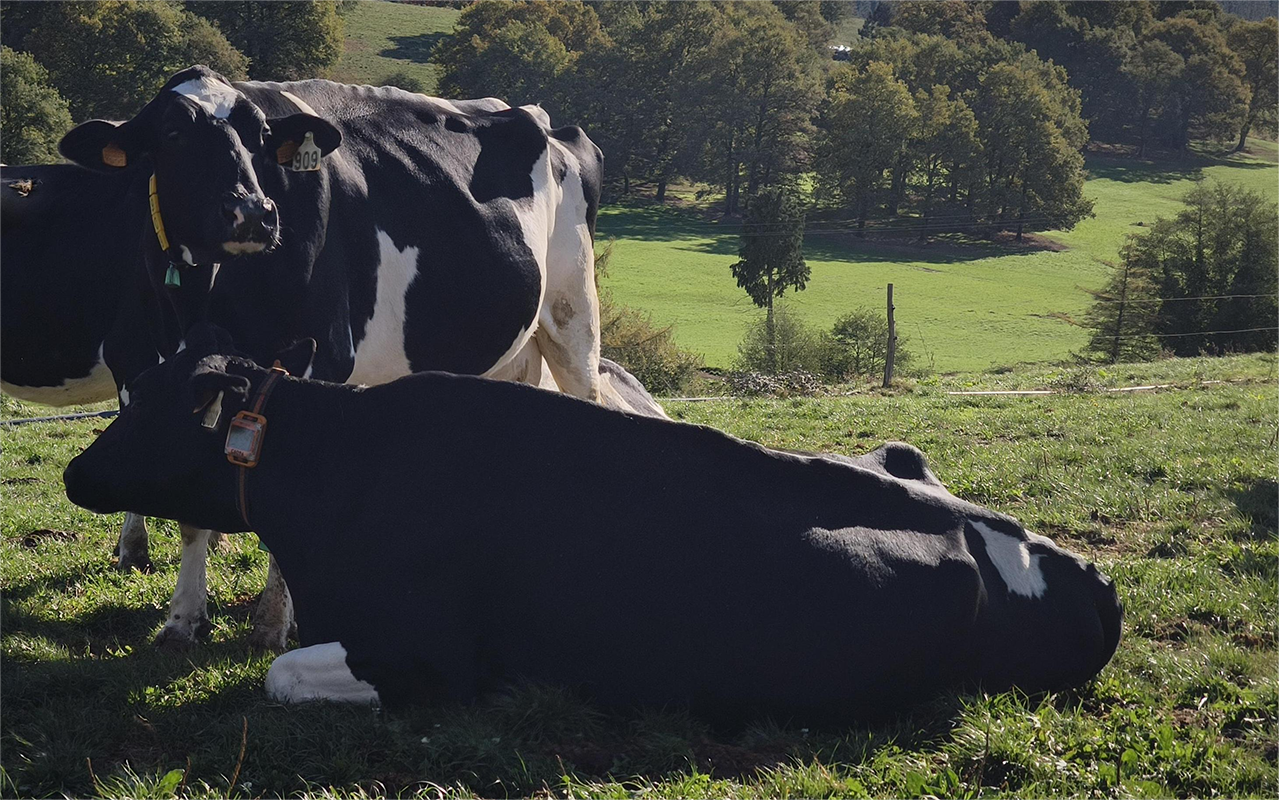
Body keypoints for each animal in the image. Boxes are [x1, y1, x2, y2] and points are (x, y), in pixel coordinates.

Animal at [5, 64, 609, 649]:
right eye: (173, 133)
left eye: (260, 137)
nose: (252, 212)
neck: (213, 289)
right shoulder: (161, 361)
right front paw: (184, 620)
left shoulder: (319, 359)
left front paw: (273, 624)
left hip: (572, 318)